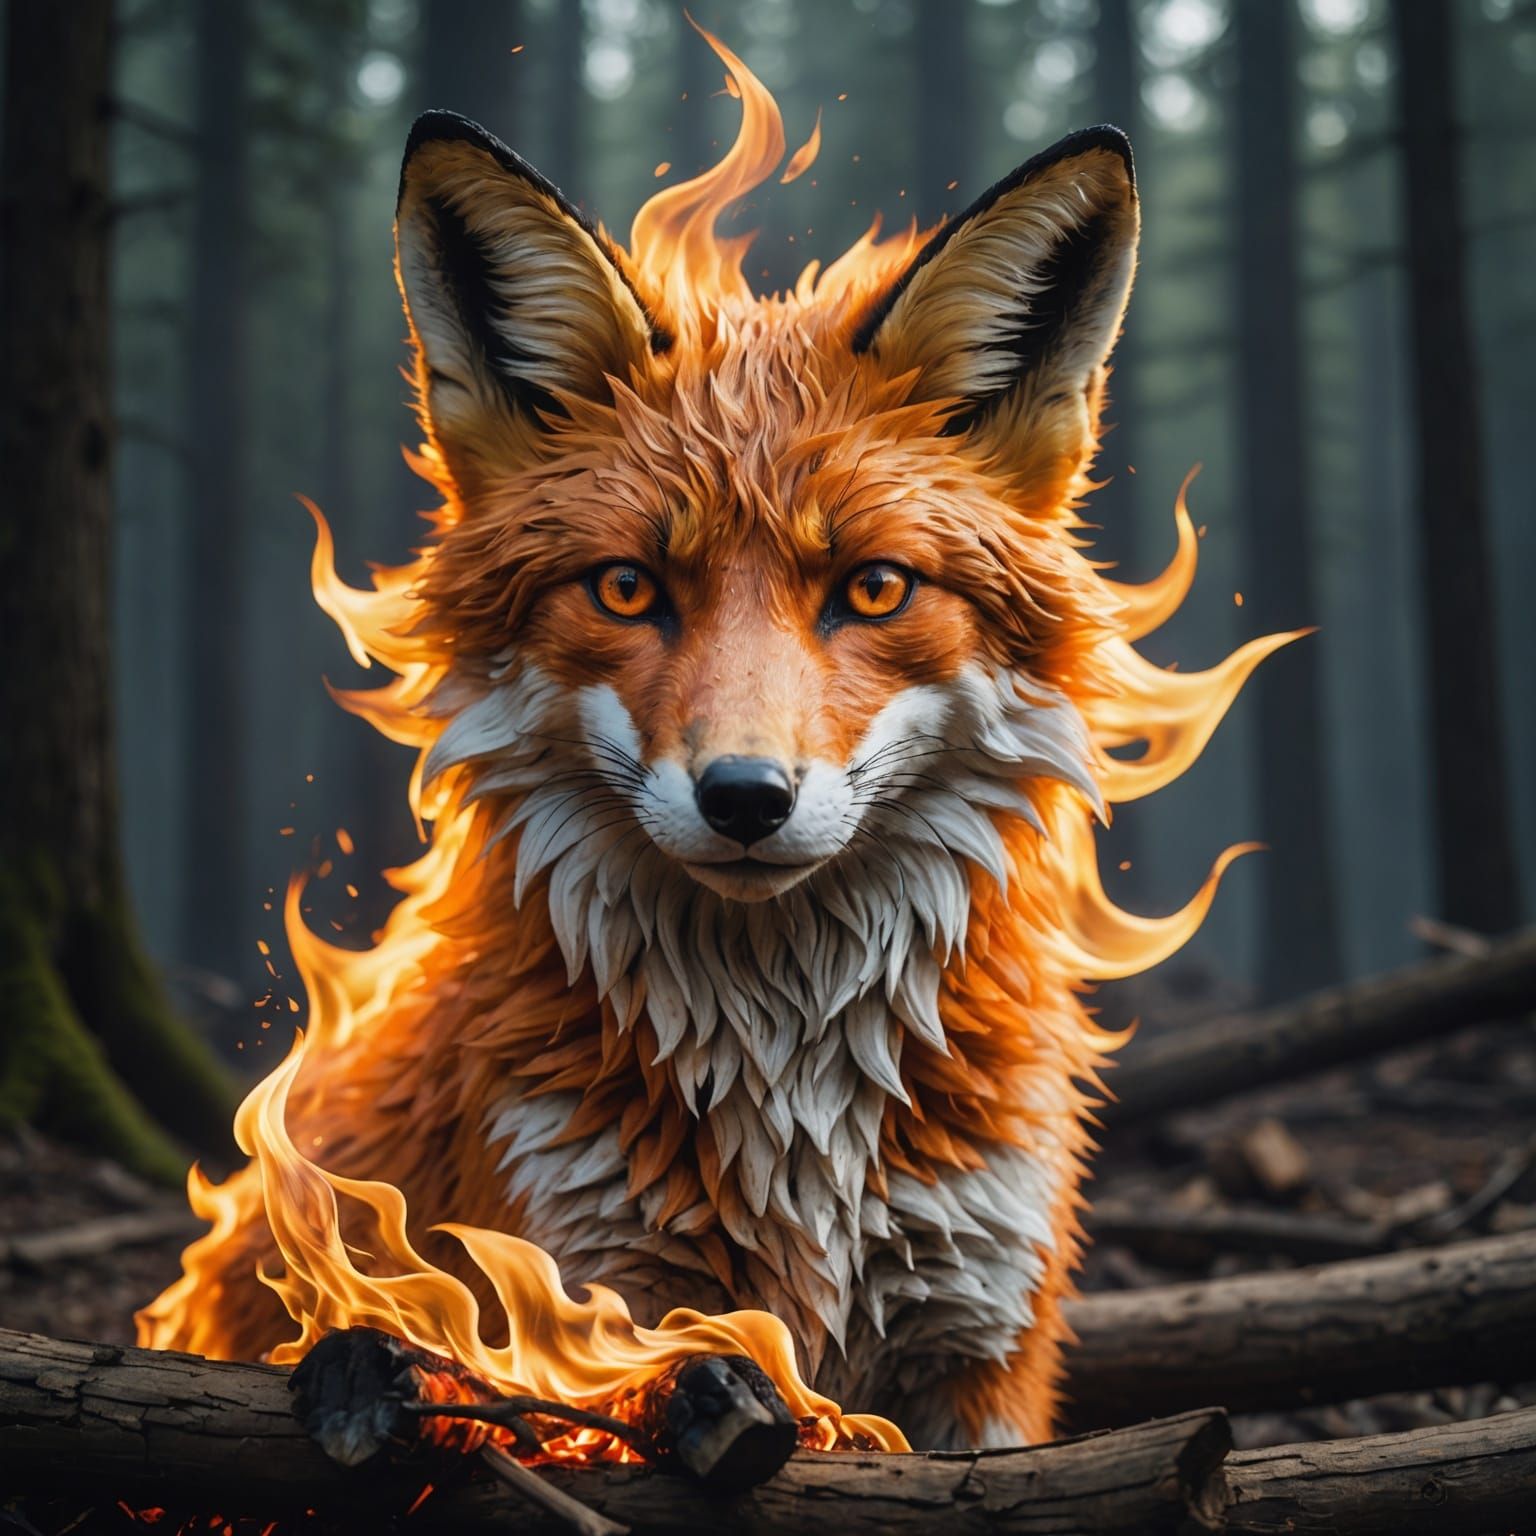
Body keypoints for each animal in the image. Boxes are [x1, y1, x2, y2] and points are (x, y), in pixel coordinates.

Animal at [140, 38, 1278, 1450]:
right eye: (628, 589)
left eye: (874, 589)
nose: (745, 797)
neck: (790, 1104)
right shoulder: (586, 1307)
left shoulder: (979, 1345)